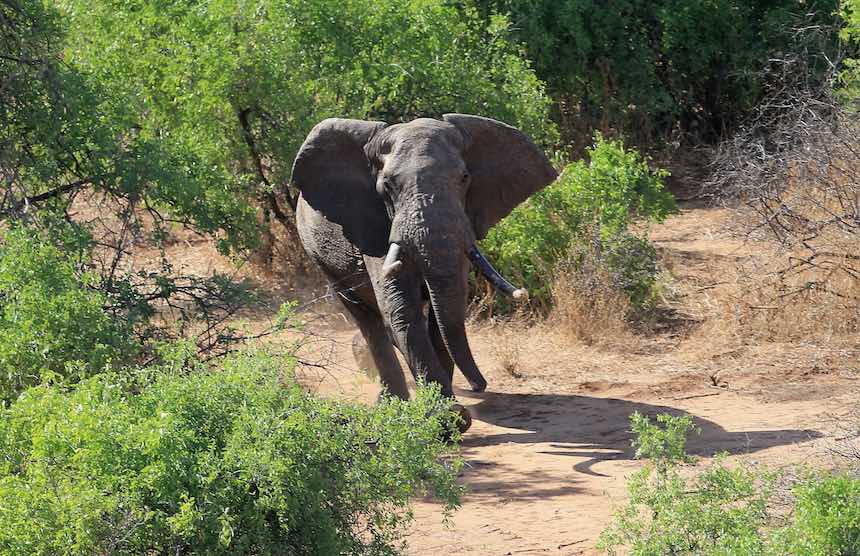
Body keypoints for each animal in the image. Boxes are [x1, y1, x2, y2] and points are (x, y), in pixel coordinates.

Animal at [290, 114, 556, 430]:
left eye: (464, 178)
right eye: (387, 186)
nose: (480, 385)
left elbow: (445, 315)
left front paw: (446, 411)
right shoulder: (373, 223)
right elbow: (401, 307)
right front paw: (447, 419)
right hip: (321, 259)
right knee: (368, 319)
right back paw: (391, 402)